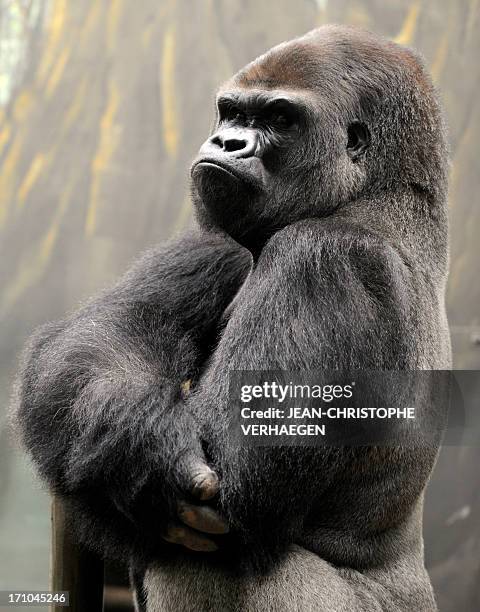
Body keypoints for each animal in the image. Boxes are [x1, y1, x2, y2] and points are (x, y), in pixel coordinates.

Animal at [15, 25, 450, 612]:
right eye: (232, 112)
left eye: (281, 119)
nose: (226, 143)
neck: (382, 195)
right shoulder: (219, 241)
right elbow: (92, 344)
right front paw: (134, 443)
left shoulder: (323, 258)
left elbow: (237, 480)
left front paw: (149, 461)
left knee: (198, 556)